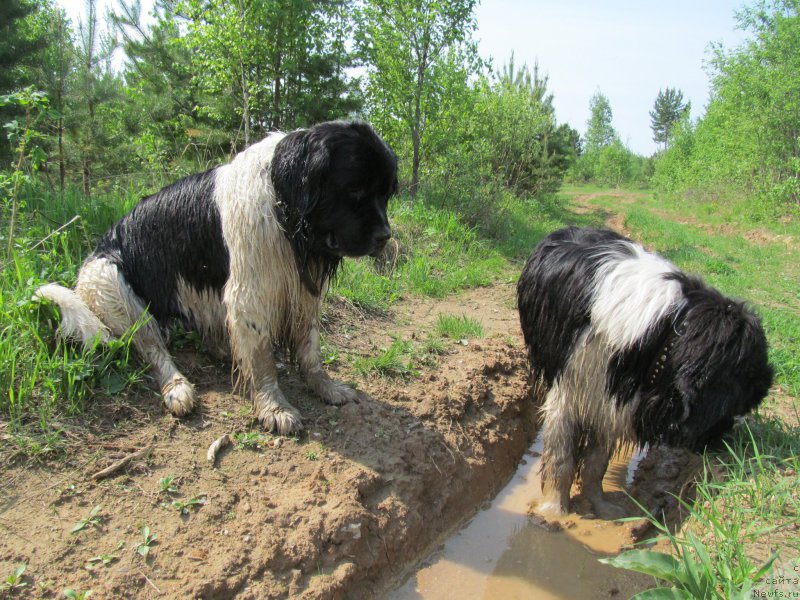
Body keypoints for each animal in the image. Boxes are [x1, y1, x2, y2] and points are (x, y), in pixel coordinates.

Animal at [36, 119, 398, 434]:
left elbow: (309, 347)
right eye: (355, 189)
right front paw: (274, 407)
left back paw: (225, 352)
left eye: (385, 194)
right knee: (153, 348)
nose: (385, 237)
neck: (281, 201)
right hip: (109, 280)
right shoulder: (250, 293)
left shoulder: (302, 291)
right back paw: (178, 388)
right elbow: (262, 358)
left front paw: (325, 387)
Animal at [516, 227, 772, 516]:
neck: (668, 330)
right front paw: (554, 511)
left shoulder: (613, 399)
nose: (719, 445)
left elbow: (597, 459)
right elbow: (561, 457)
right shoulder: (572, 386)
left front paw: (600, 504)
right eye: (735, 402)